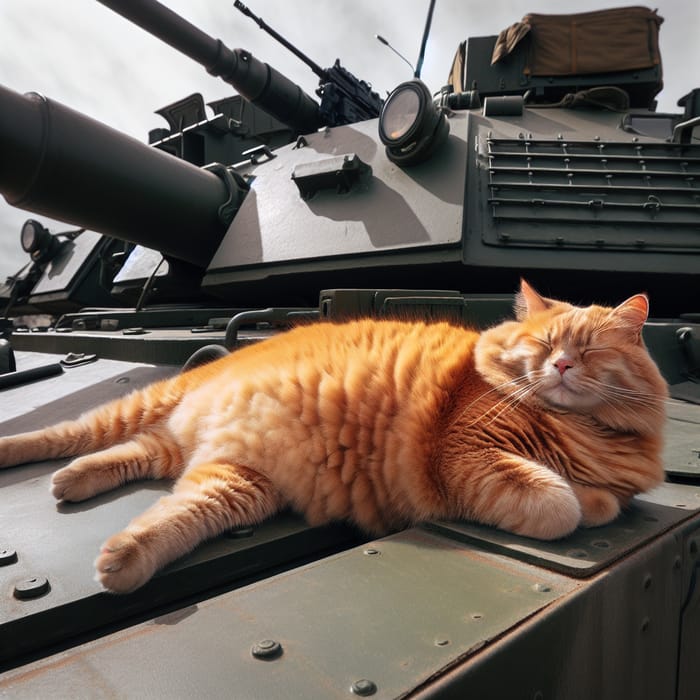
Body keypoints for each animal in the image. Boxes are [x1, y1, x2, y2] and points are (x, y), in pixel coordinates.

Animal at [0, 278, 668, 592]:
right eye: (544, 344)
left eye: (587, 350)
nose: (562, 366)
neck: (581, 431)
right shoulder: (463, 456)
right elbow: (559, 505)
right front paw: (582, 500)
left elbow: (605, 501)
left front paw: (598, 497)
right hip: (147, 409)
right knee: (64, 434)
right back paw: (29, 458)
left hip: (233, 482)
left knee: (146, 482)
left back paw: (101, 526)